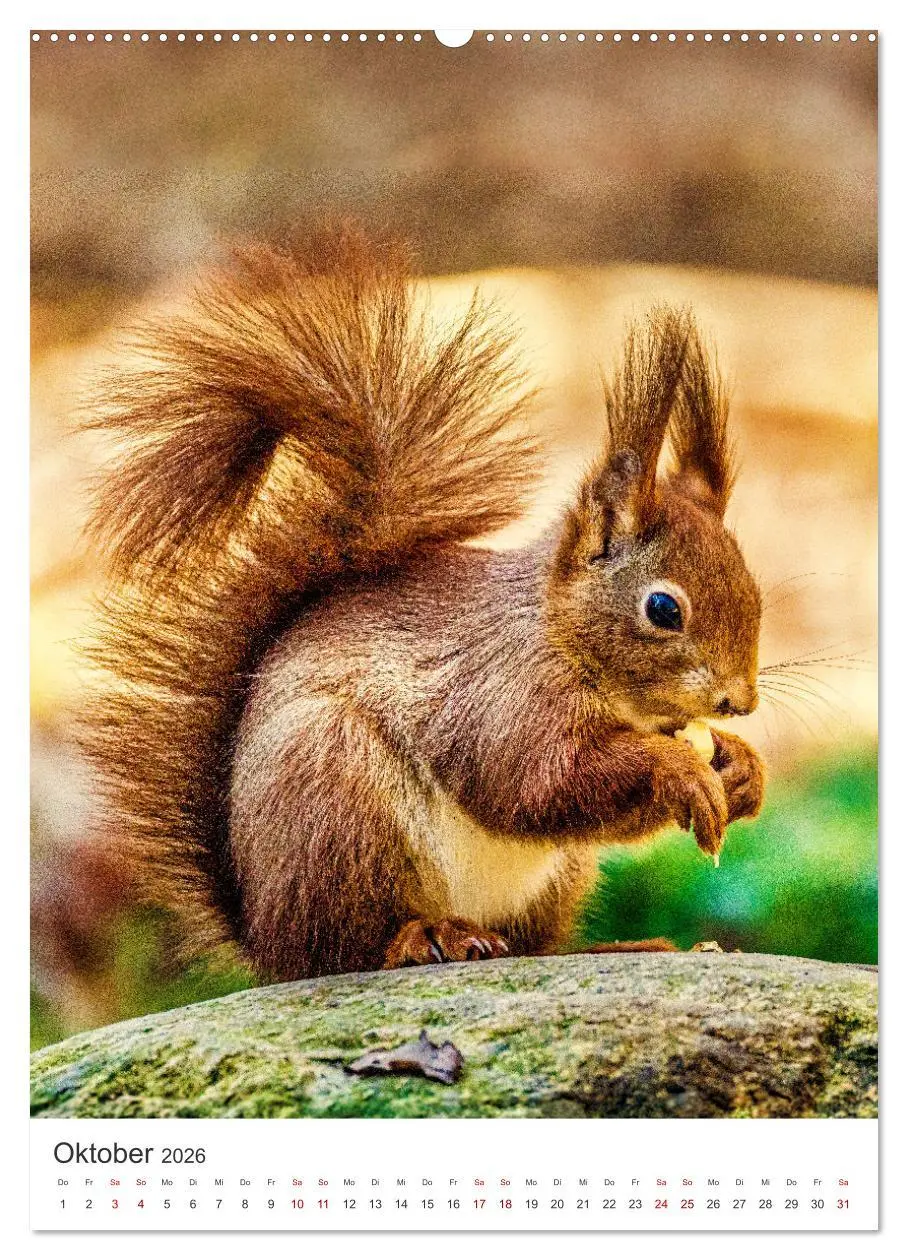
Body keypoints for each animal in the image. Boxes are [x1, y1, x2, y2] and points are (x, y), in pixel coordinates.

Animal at [82, 226, 765, 981]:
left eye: (753, 589)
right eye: (664, 610)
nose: (740, 701)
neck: (559, 636)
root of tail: (264, 937)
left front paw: (743, 770)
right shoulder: (500, 698)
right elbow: (535, 783)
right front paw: (679, 768)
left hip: (552, 879)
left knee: (533, 945)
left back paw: (617, 944)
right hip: (335, 806)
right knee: (346, 948)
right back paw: (424, 937)